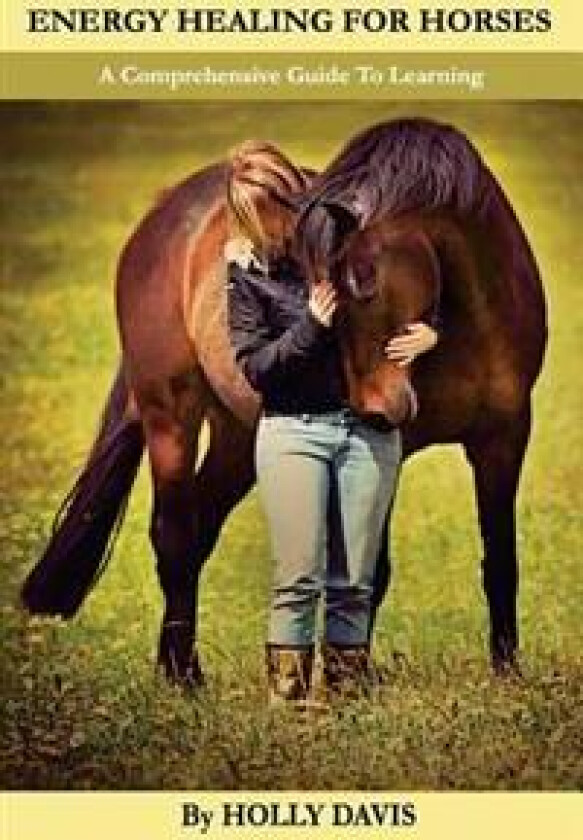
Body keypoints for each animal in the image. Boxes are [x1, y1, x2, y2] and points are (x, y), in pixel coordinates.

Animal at [21, 118, 547, 686]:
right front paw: (350, 678)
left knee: (199, 529)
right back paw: (183, 678)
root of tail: (160, 215)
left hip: (237, 436)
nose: (371, 409)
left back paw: (179, 666)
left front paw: (507, 673)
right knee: (174, 535)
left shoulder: (505, 438)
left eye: (361, 281)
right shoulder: (391, 446)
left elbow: (501, 561)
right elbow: (372, 571)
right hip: (171, 418)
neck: (474, 317)